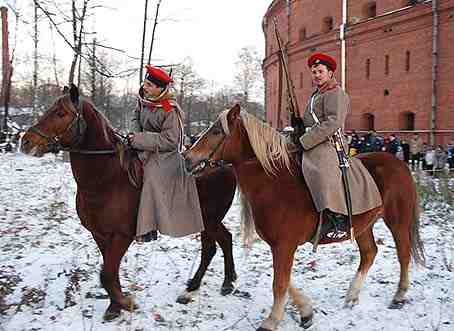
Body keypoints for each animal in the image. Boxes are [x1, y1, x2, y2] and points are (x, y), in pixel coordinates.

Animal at [18, 85, 238, 322]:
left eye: (60, 113)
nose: (26, 142)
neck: (107, 179)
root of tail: (223, 163)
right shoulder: (100, 234)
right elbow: (109, 271)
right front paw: (115, 306)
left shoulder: (123, 235)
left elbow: (106, 273)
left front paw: (125, 302)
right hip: (206, 220)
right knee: (218, 243)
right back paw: (208, 284)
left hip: (210, 219)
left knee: (217, 244)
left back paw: (217, 284)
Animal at [184, 105, 426, 331]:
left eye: (217, 131)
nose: (187, 158)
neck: (274, 183)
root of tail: (400, 163)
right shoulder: (280, 246)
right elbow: (285, 279)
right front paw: (306, 311)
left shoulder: (284, 245)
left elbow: (279, 283)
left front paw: (272, 320)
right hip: (363, 226)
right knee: (369, 253)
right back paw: (352, 295)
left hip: (397, 221)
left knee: (403, 254)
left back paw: (399, 295)